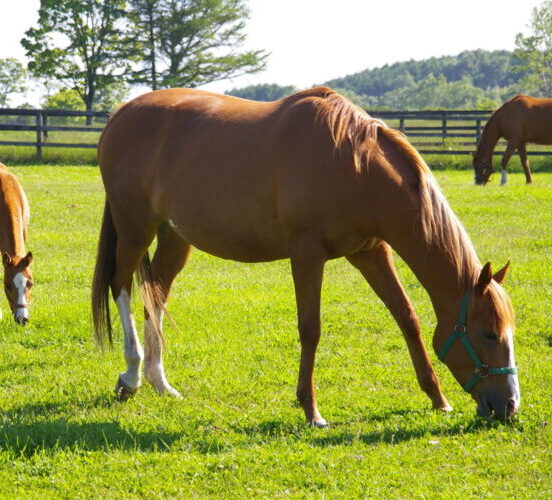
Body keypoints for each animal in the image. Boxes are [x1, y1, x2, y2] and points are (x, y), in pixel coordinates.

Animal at [92, 86, 520, 422]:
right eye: (488, 332)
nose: (510, 406)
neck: (354, 165)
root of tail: (119, 117)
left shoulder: (372, 252)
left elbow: (407, 317)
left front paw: (437, 398)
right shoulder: (307, 255)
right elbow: (310, 329)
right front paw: (311, 409)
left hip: (174, 238)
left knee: (155, 296)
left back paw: (160, 382)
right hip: (135, 228)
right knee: (121, 287)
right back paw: (131, 377)